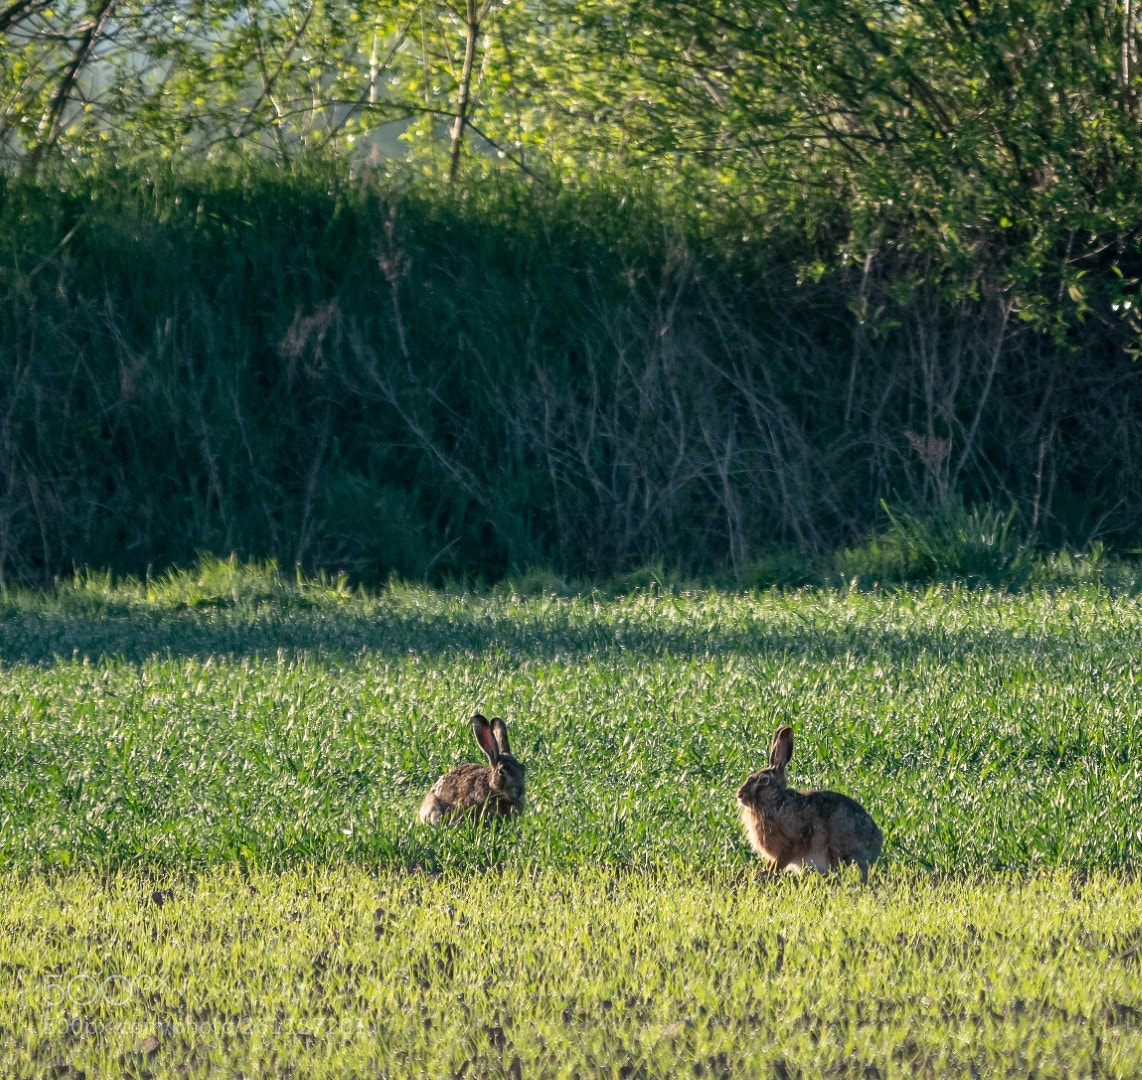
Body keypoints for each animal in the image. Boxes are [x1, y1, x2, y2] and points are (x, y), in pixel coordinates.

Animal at [737, 725, 882, 881]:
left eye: (764, 780)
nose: (739, 795)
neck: (775, 801)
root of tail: (876, 849)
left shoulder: (791, 843)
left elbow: (780, 862)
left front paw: (764, 875)